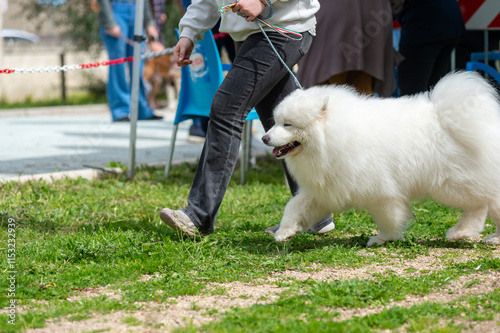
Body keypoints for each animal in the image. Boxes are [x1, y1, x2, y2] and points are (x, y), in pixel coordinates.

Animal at [262, 71, 500, 245]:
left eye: (287, 124)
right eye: (275, 122)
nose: (265, 138)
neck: (333, 136)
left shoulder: (382, 193)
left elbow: (388, 218)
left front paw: (382, 239)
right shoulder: (324, 189)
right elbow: (293, 207)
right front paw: (284, 232)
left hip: (451, 185)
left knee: (480, 206)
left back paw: (470, 234)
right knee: (485, 207)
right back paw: (476, 235)